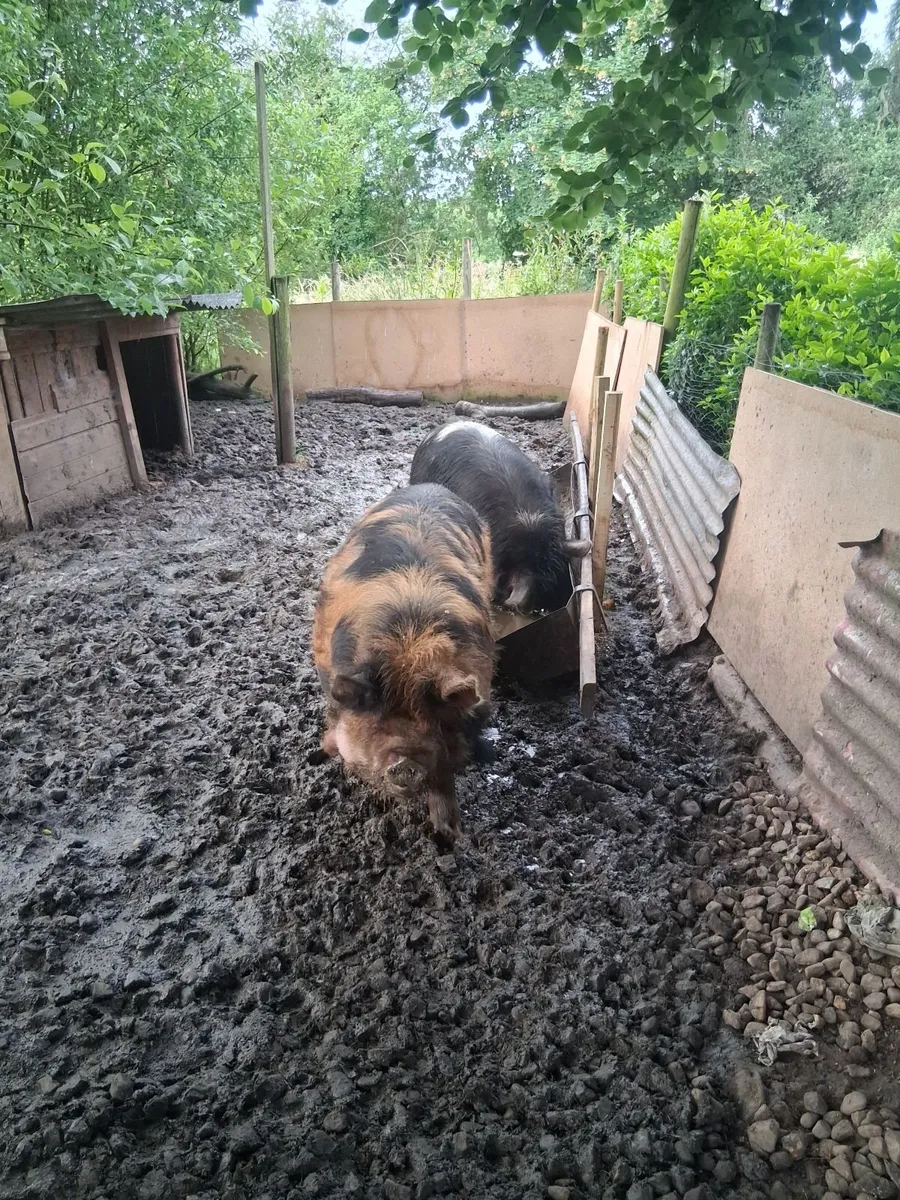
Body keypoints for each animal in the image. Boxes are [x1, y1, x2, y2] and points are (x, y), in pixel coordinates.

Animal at [313, 482, 496, 837]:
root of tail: (432, 487)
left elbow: (444, 776)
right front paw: (326, 751)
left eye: (431, 721)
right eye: (377, 722)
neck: (407, 649)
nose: (405, 762)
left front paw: (449, 832)